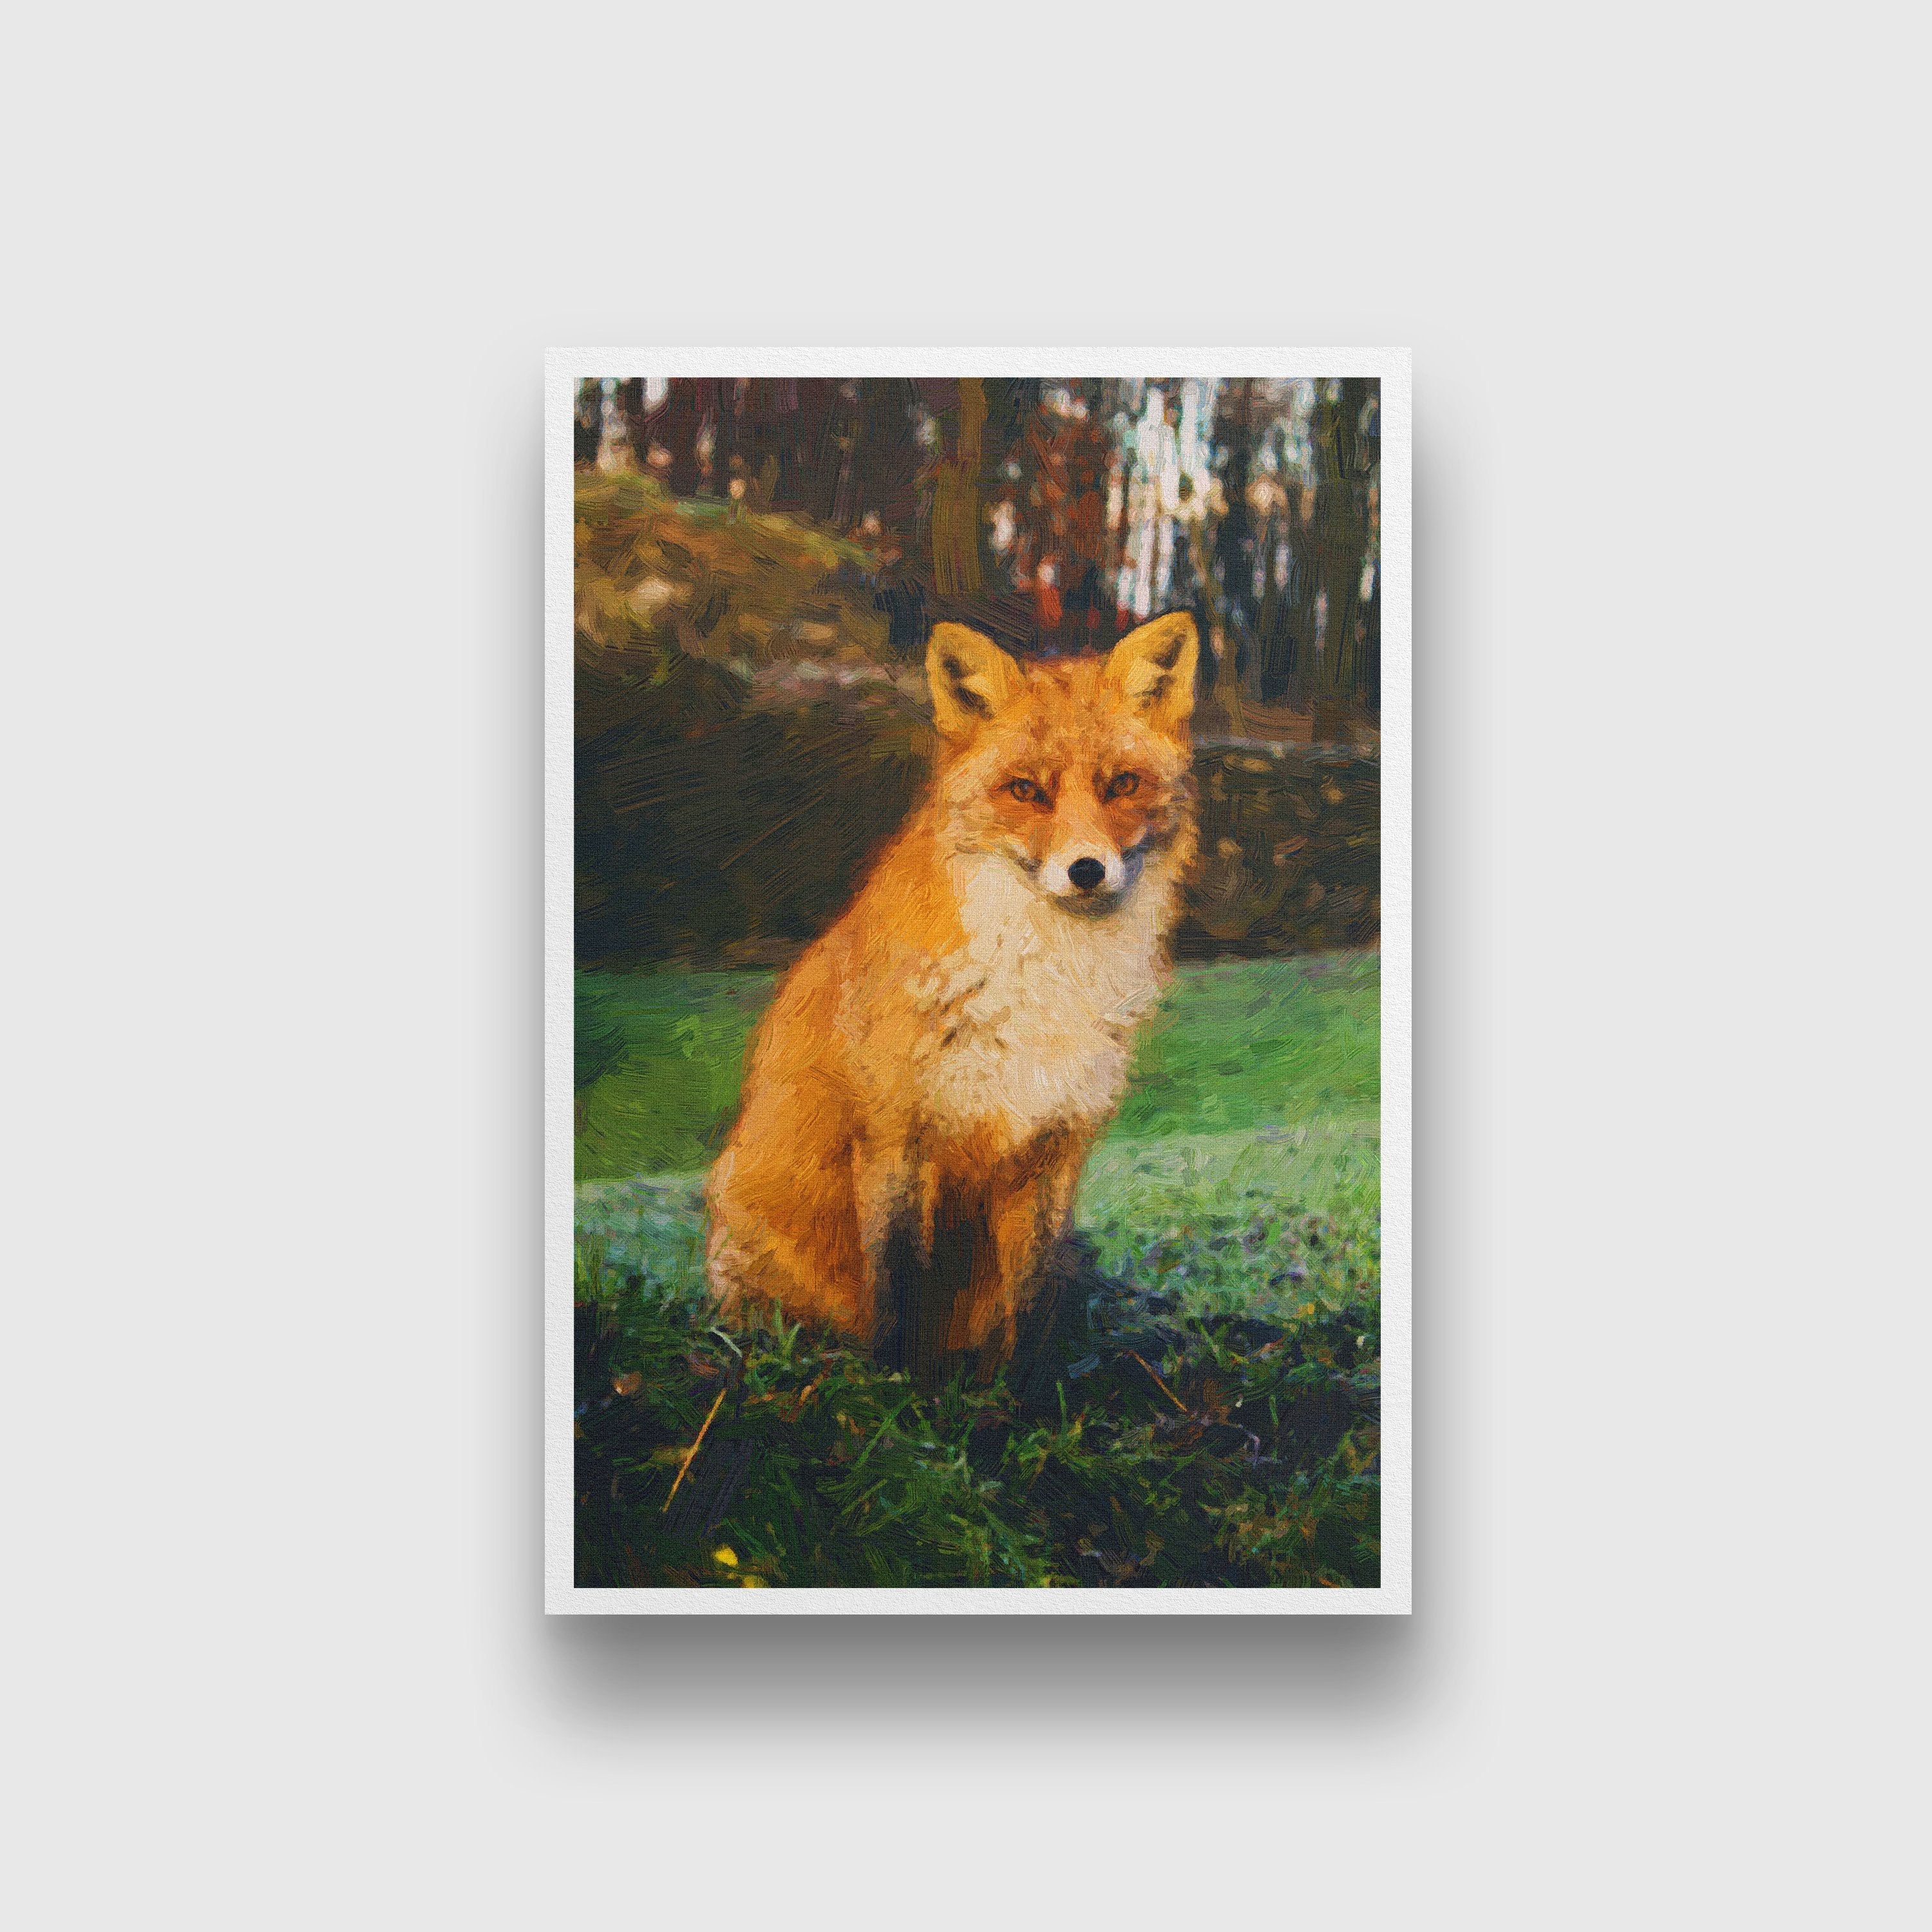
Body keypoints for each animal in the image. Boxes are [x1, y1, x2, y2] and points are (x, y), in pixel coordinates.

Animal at [706, 610, 1200, 1379]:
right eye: (1026, 790)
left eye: (1122, 784)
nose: (1087, 870)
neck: (1043, 982)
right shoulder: (896, 1136)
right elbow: (899, 1285)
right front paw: (900, 1388)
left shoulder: (1053, 1145)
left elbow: (1030, 1300)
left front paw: (1028, 1391)